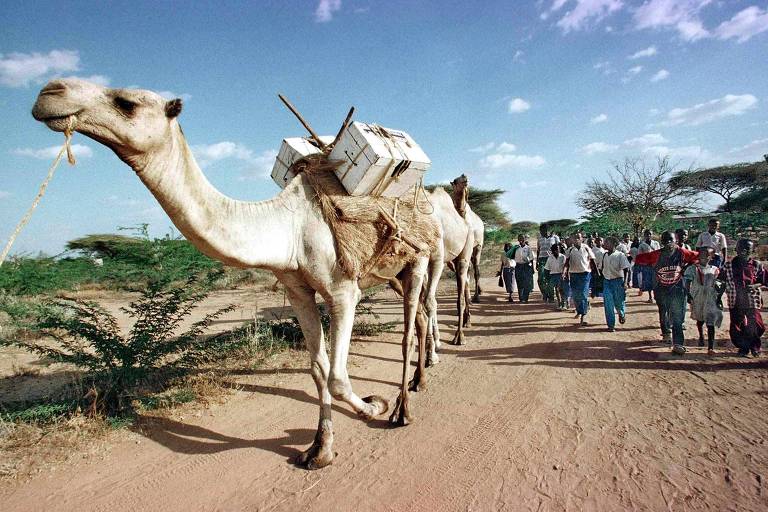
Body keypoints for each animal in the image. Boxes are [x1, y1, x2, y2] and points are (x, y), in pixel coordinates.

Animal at [33, 79, 440, 468]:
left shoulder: (342, 291)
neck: (287, 226)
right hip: (389, 272)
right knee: (419, 315)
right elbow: (318, 369)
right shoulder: (298, 290)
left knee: (409, 327)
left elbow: (338, 378)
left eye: (126, 103)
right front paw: (319, 450)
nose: (48, 92)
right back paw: (417, 381)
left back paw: (403, 408)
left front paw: (374, 405)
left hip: (419, 256)